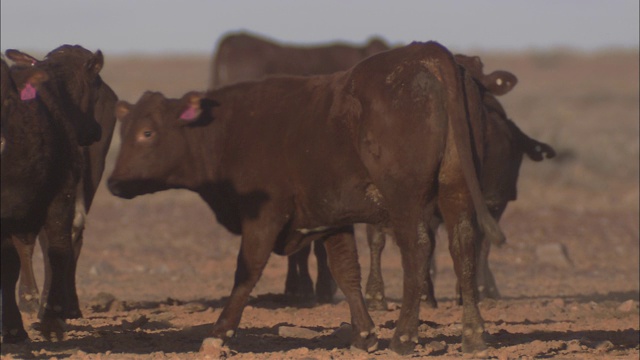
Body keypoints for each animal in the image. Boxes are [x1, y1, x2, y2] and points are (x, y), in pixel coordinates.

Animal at [6, 45, 119, 318]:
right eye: (94, 82)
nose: (95, 129)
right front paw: (30, 299)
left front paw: (40, 301)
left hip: (90, 175)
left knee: (70, 237)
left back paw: (65, 303)